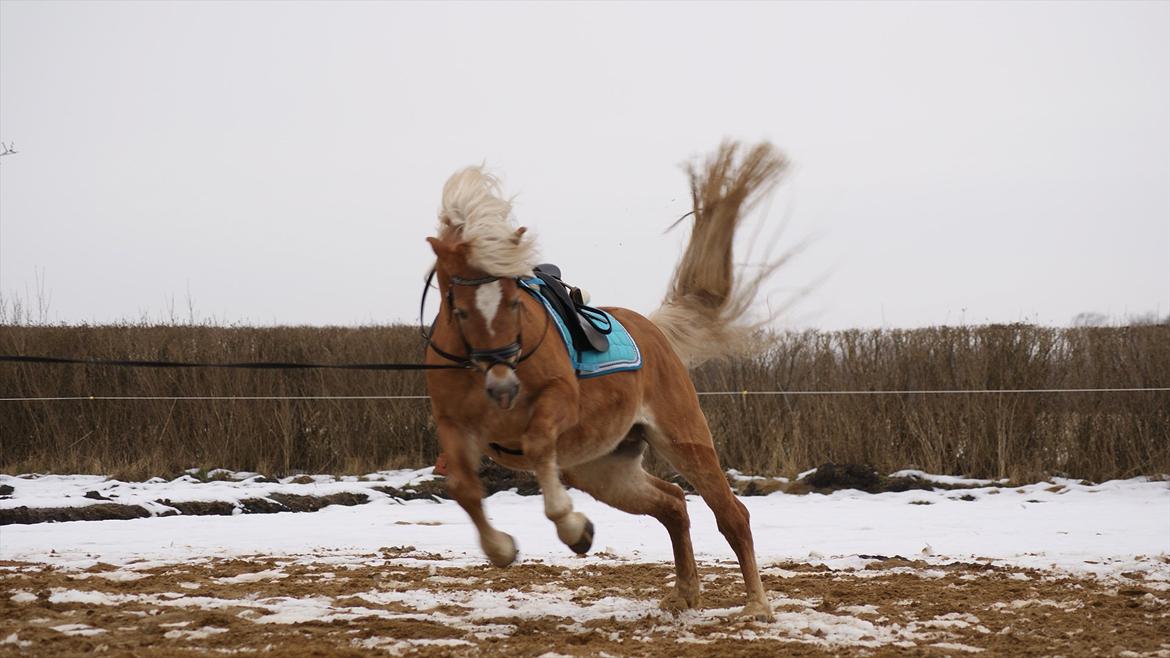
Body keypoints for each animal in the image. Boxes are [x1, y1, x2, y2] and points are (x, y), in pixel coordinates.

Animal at [421, 141, 786, 618]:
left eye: (515, 303)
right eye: (459, 310)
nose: (503, 388)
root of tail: (653, 328)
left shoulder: (557, 403)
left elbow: (537, 444)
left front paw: (571, 526)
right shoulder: (454, 426)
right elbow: (464, 489)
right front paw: (502, 548)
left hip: (684, 438)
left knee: (731, 514)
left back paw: (757, 606)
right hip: (602, 469)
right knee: (672, 503)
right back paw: (684, 594)